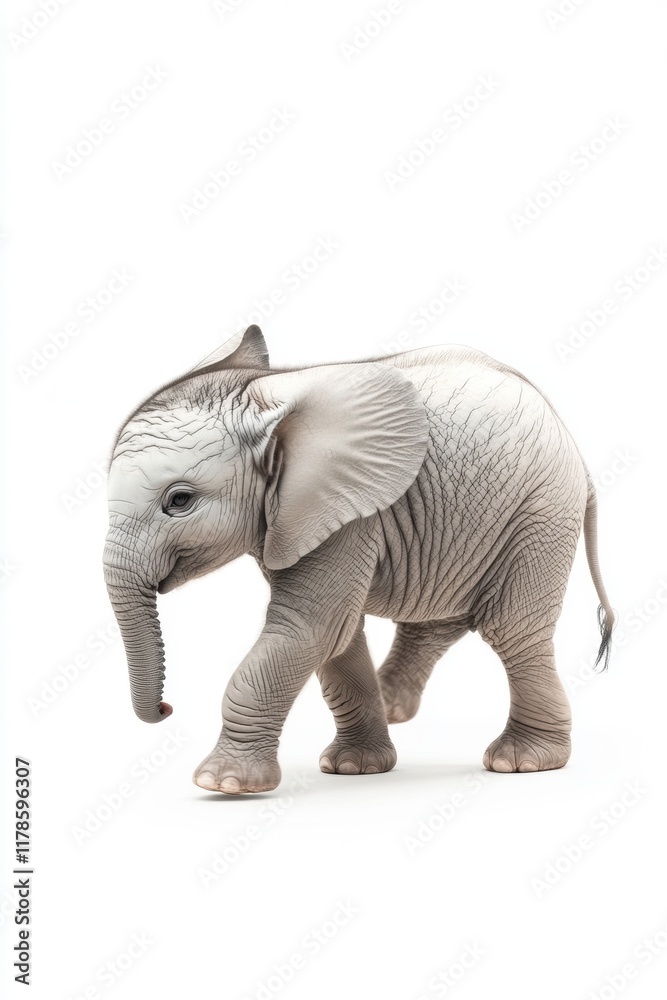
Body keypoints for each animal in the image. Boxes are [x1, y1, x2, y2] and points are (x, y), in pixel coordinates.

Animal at [103, 325, 614, 794]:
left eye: (180, 500)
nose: (166, 709)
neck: (267, 394)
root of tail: (572, 442)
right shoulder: (293, 518)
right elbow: (338, 638)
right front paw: (355, 767)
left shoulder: (347, 513)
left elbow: (311, 627)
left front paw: (223, 783)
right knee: (437, 618)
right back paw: (395, 708)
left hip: (542, 511)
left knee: (512, 631)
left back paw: (522, 761)